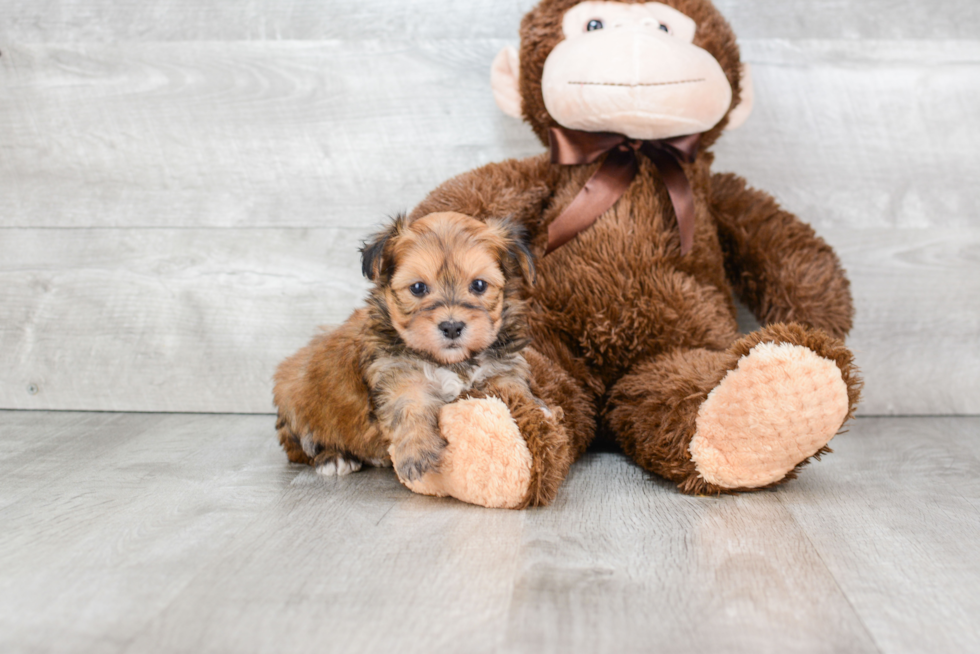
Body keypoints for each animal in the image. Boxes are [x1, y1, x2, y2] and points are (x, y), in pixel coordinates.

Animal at [274, 210, 536, 482]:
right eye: (418, 288)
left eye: (479, 285)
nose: (452, 327)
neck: (451, 362)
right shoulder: (398, 375)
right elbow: (409, 406)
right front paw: (417, 452)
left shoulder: (502, 369)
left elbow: (515, 392)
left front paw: (537, 413)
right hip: (295, 395)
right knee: (302, 446)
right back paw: (334, 458)